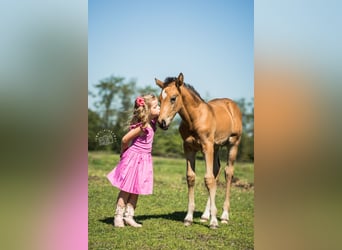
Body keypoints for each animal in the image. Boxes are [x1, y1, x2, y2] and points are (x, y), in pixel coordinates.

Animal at [155, 72, 243, 229]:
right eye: (159, 99)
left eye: (173, 98)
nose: (162, 122)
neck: (194, 118)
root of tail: (232, 105)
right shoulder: (189, 148)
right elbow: (191, 177)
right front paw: (189, 218)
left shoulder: (206, 146)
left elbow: (208, 179)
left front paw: (214, 222)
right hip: (216, 147)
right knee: (216, 171)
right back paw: (204, 215)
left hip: (233, 144)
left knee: (228, 173)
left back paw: (224, 216)